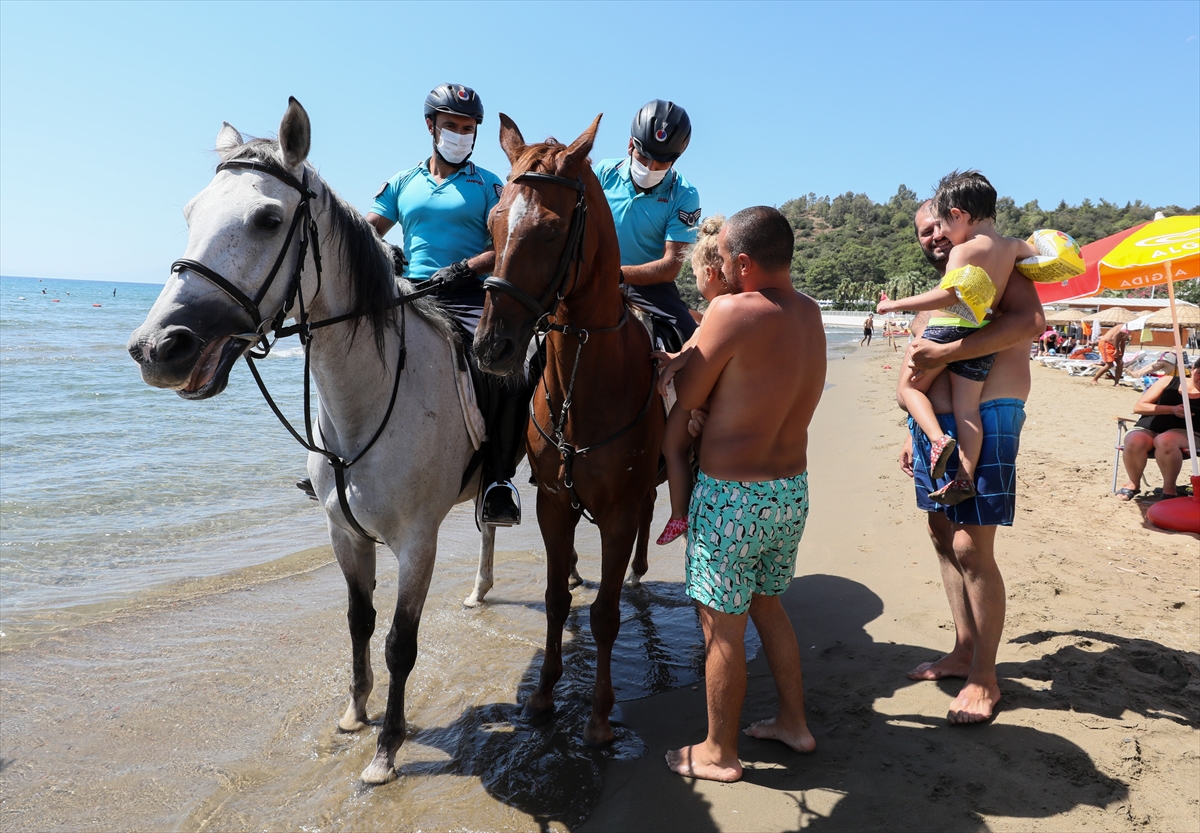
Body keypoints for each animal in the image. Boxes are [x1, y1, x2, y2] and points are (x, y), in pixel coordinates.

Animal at [132, 99, 501, 787]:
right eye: (192, 212)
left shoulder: (418, 542)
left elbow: (400, 643)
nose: (158, 347)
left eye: (268, 218)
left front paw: (386, 751)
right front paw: (355, 715)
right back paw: (481, 590)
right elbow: (359, 623)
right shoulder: (344, 533)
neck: (372, 400)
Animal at [470, 112, 667, 744]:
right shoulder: (554, 503)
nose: (492, 346)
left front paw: (600, 716)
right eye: (494, 221)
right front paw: (542, 695)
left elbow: (603, 616)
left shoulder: (619, 510)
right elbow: (557, 600)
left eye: (552, 231)